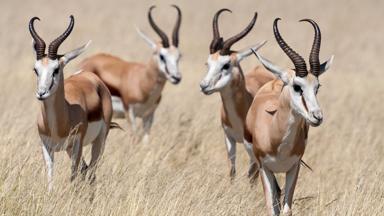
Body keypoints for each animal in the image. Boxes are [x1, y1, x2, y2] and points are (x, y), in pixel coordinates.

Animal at [29, 15, 115, 191]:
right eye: (36, 69)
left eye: (56, 69)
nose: (41, 93)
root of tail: (90, 76)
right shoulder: (46, 146)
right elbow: (50, 178)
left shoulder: (77, 145)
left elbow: (73, 177)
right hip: (70, 149)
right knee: (85, 170)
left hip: (99, 141)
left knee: (91, 172)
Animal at [79, 5, 182, 143]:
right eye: (162, 56)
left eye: (179, 56)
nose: (176, 77)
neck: (143, 82)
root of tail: (86, 62)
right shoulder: (130, 112)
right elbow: (134, 137)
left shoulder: (149, 115)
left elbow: (145, 141)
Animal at [200, 8, 274, 179]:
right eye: (208, 63)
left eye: (226, 65)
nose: (204, 86)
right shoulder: (229, 138)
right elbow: (231, 170)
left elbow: (252, 174)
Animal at [246, 18, 332, 214]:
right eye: (297, 87)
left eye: (317, 86)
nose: (317, 116)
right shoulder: (264, 169)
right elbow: (272, 208)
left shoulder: (294, 167)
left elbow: (286, 210)